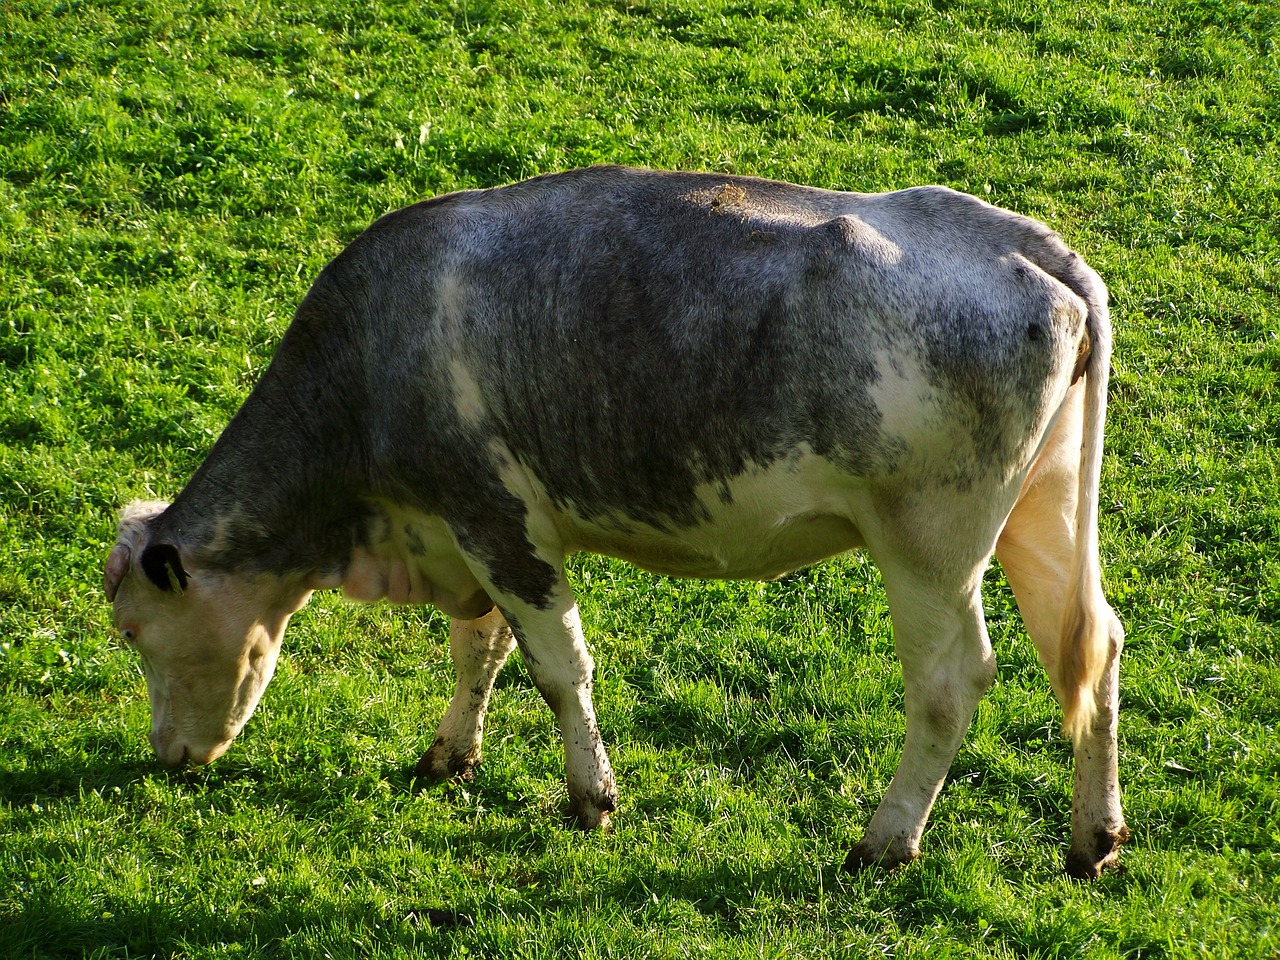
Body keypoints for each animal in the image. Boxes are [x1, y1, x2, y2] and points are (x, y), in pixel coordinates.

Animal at [110, 163, 1131, 880]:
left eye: (133, 632)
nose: (166, 756)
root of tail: (1028, 246)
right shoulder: (472, 529)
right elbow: (478, 650)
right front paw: (450, 756)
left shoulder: (495, 517)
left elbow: (557, 668)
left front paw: (590, 799)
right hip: (1039, 515)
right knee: (1093, 646)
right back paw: (1093, 839)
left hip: (929, 547)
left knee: (951, 683)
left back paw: (883, 842)